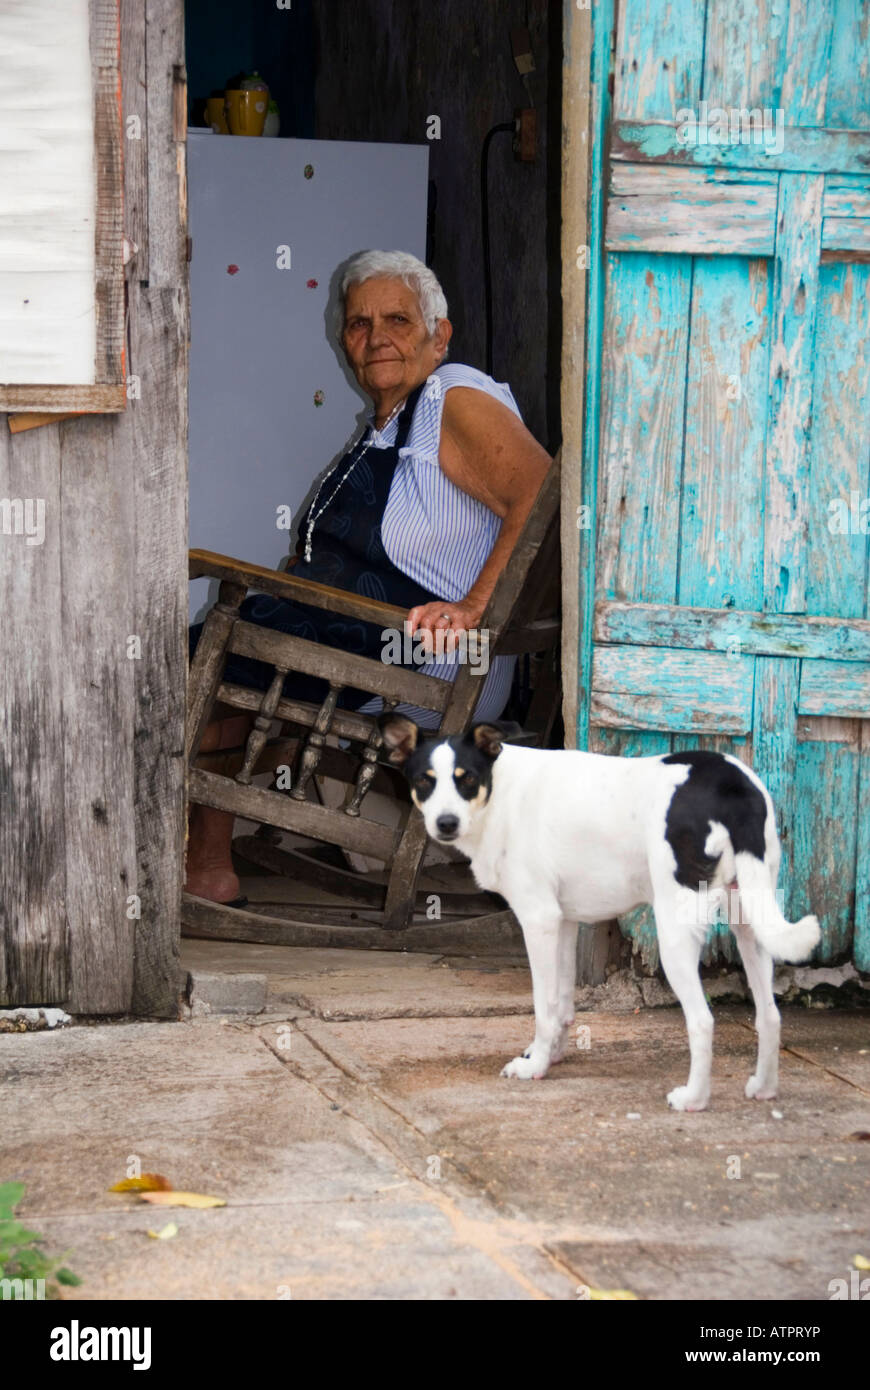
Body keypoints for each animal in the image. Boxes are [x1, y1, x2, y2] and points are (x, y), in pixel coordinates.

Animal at [375, 722, 817, 1112]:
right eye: (425, 781)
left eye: (465, 779)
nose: (446, 823)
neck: (498, 793)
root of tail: (731, 781)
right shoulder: (564, 922)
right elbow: (562, 1002)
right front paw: (550, 1055)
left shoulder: (538, 920)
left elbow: (544, 1006)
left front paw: (535, 1066)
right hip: (750, 921)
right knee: (769, 1014)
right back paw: (764, 1087)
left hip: (675, 934)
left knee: (703, 1021)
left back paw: (694, 1099)